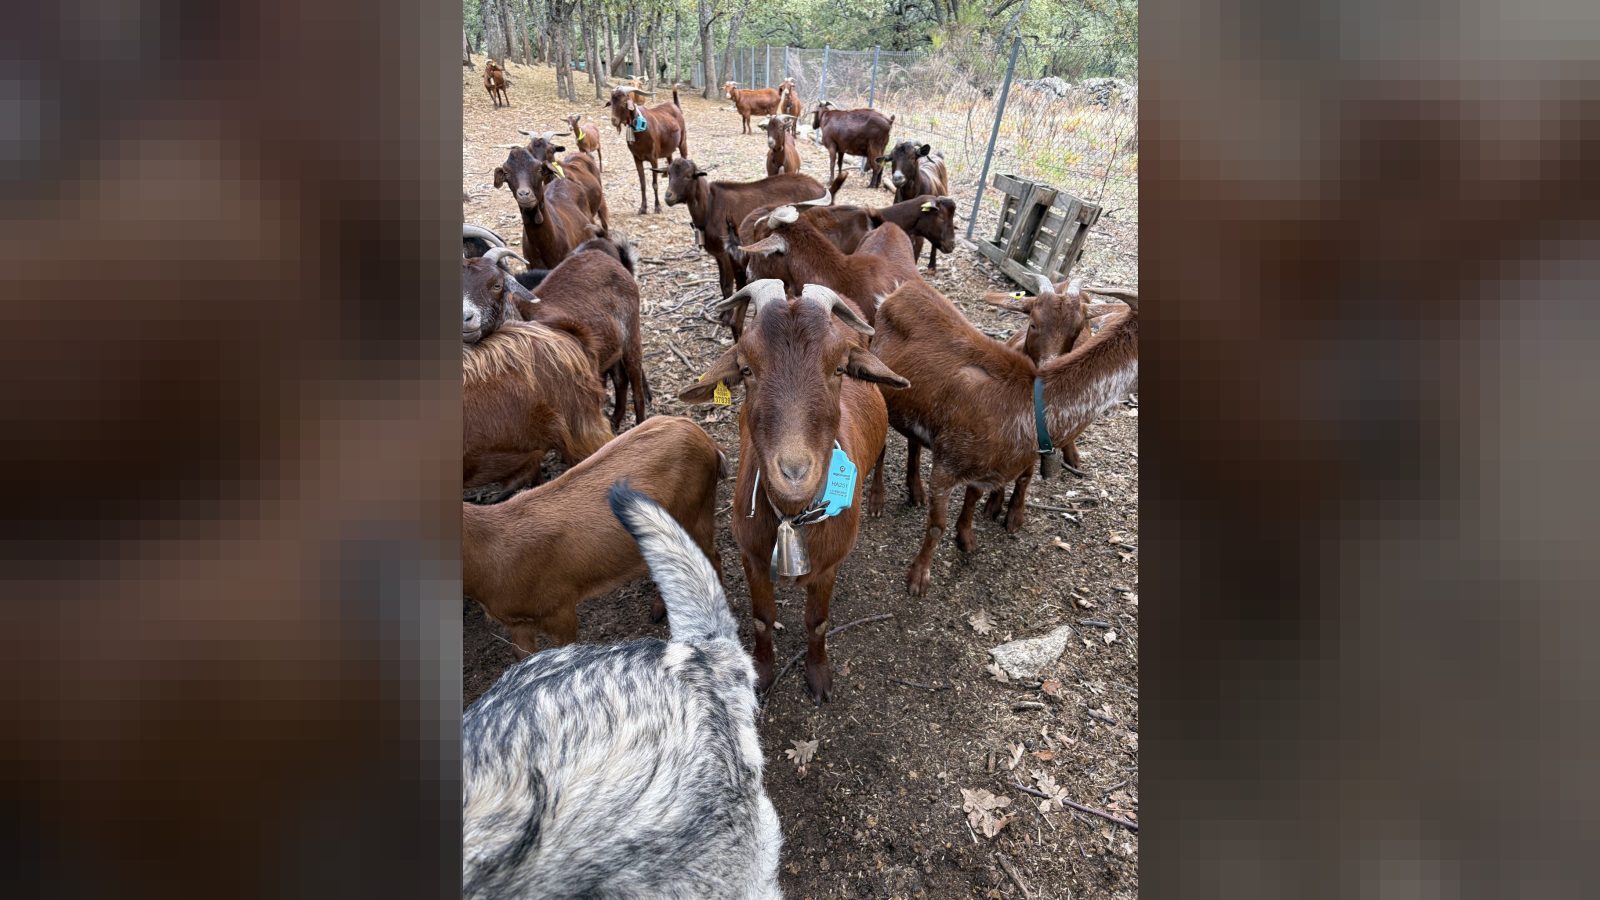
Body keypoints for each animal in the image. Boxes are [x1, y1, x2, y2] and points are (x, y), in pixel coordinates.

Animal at [604, 83, 688, 214]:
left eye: (624, 102)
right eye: (611, 102)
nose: (614, 120)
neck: (640, 129)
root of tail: (676, 106)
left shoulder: (653, 158)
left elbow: (654, 184)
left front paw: (657, 207)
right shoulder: (637, 158)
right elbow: (642, 183)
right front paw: (643, 208)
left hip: (683, 141)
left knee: (685, 157)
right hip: (668, 149)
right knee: (670, 162)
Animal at [660, 157, 833, 310]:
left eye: (688, 176)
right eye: (669, 174)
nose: (668, 196)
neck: (710, 206)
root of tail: (821, 188)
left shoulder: (726, 253)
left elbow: (727, 285)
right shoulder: (719, 254)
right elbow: (723, 283)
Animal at [679, 279, 909, 702]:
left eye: (839, 368)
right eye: (746, 369)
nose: (795, 472)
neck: (792, 515)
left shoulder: (828, 566)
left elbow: (817, 622)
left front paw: (818, 676)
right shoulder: (751, 556)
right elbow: (762, 619)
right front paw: (763, 673)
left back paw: (878, 498)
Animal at [867, 278, 1138, 595]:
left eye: (1078, 330)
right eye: (1033, 323)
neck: (1027, 411)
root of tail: (895, 292)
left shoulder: (987, 469)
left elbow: (973, 497)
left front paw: (966, 539)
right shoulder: (948, 462)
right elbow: (936, 525)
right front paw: (918, 579)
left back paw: (915, 492)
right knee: (882, 443)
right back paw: (876, 501)